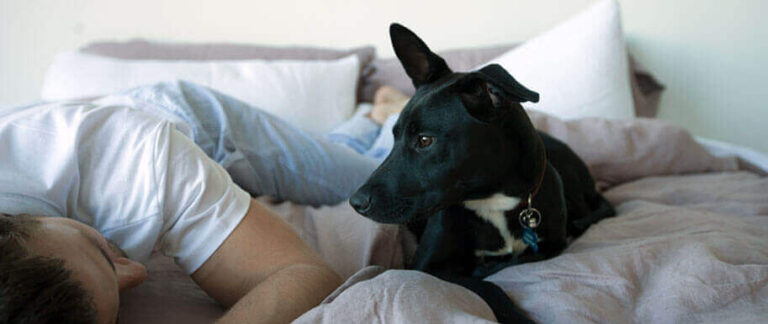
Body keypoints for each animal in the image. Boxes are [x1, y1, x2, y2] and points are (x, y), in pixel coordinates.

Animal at [352, 24, 616, 322]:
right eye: (394, 135)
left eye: (424, 140)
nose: (356, 202)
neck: (493, 200)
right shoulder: (425, 267)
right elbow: (488, 286)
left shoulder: (553, 244)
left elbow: (516, 262)